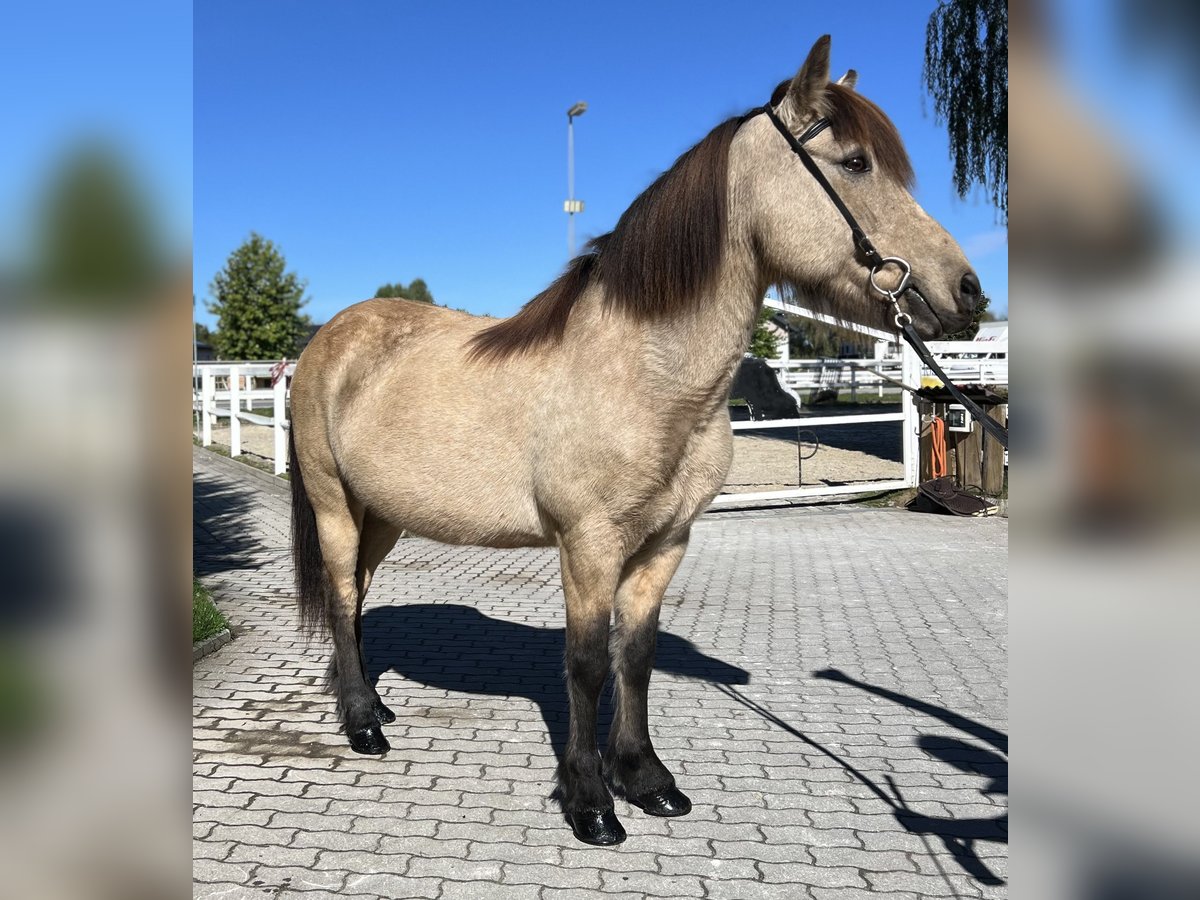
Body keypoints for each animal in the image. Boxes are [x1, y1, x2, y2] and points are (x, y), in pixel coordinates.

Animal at [285, 35, 979, 849]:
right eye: (856, 163)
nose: (968, 293)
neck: (646, 374)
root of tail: (330, 338)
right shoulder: (589, 544)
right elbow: (587, 664)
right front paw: (590, 801)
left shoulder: (664, 542)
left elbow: (636, 657)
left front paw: (646, 779)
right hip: (334, 503)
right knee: (340, 597)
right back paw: (364, 723)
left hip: (384, 514)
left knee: (359, 598)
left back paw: (365, 699)